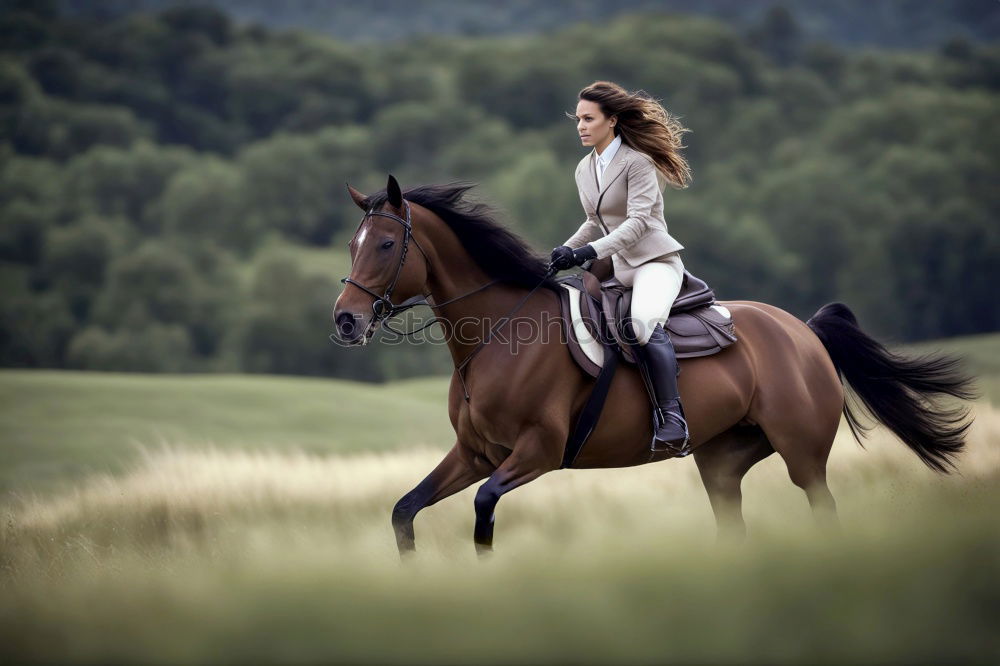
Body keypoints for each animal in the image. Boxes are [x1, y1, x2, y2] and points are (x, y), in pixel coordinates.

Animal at [334, 174, 976, 552]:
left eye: (386, 245)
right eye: (352, 245)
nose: (345, 321)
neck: (497, 333)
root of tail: (803, 331)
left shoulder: (536, 453)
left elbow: (484, 513)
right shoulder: (474, 455)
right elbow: (404, 511)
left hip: (803, 456)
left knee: (823, 510)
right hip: (722, 464)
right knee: (732, 525)